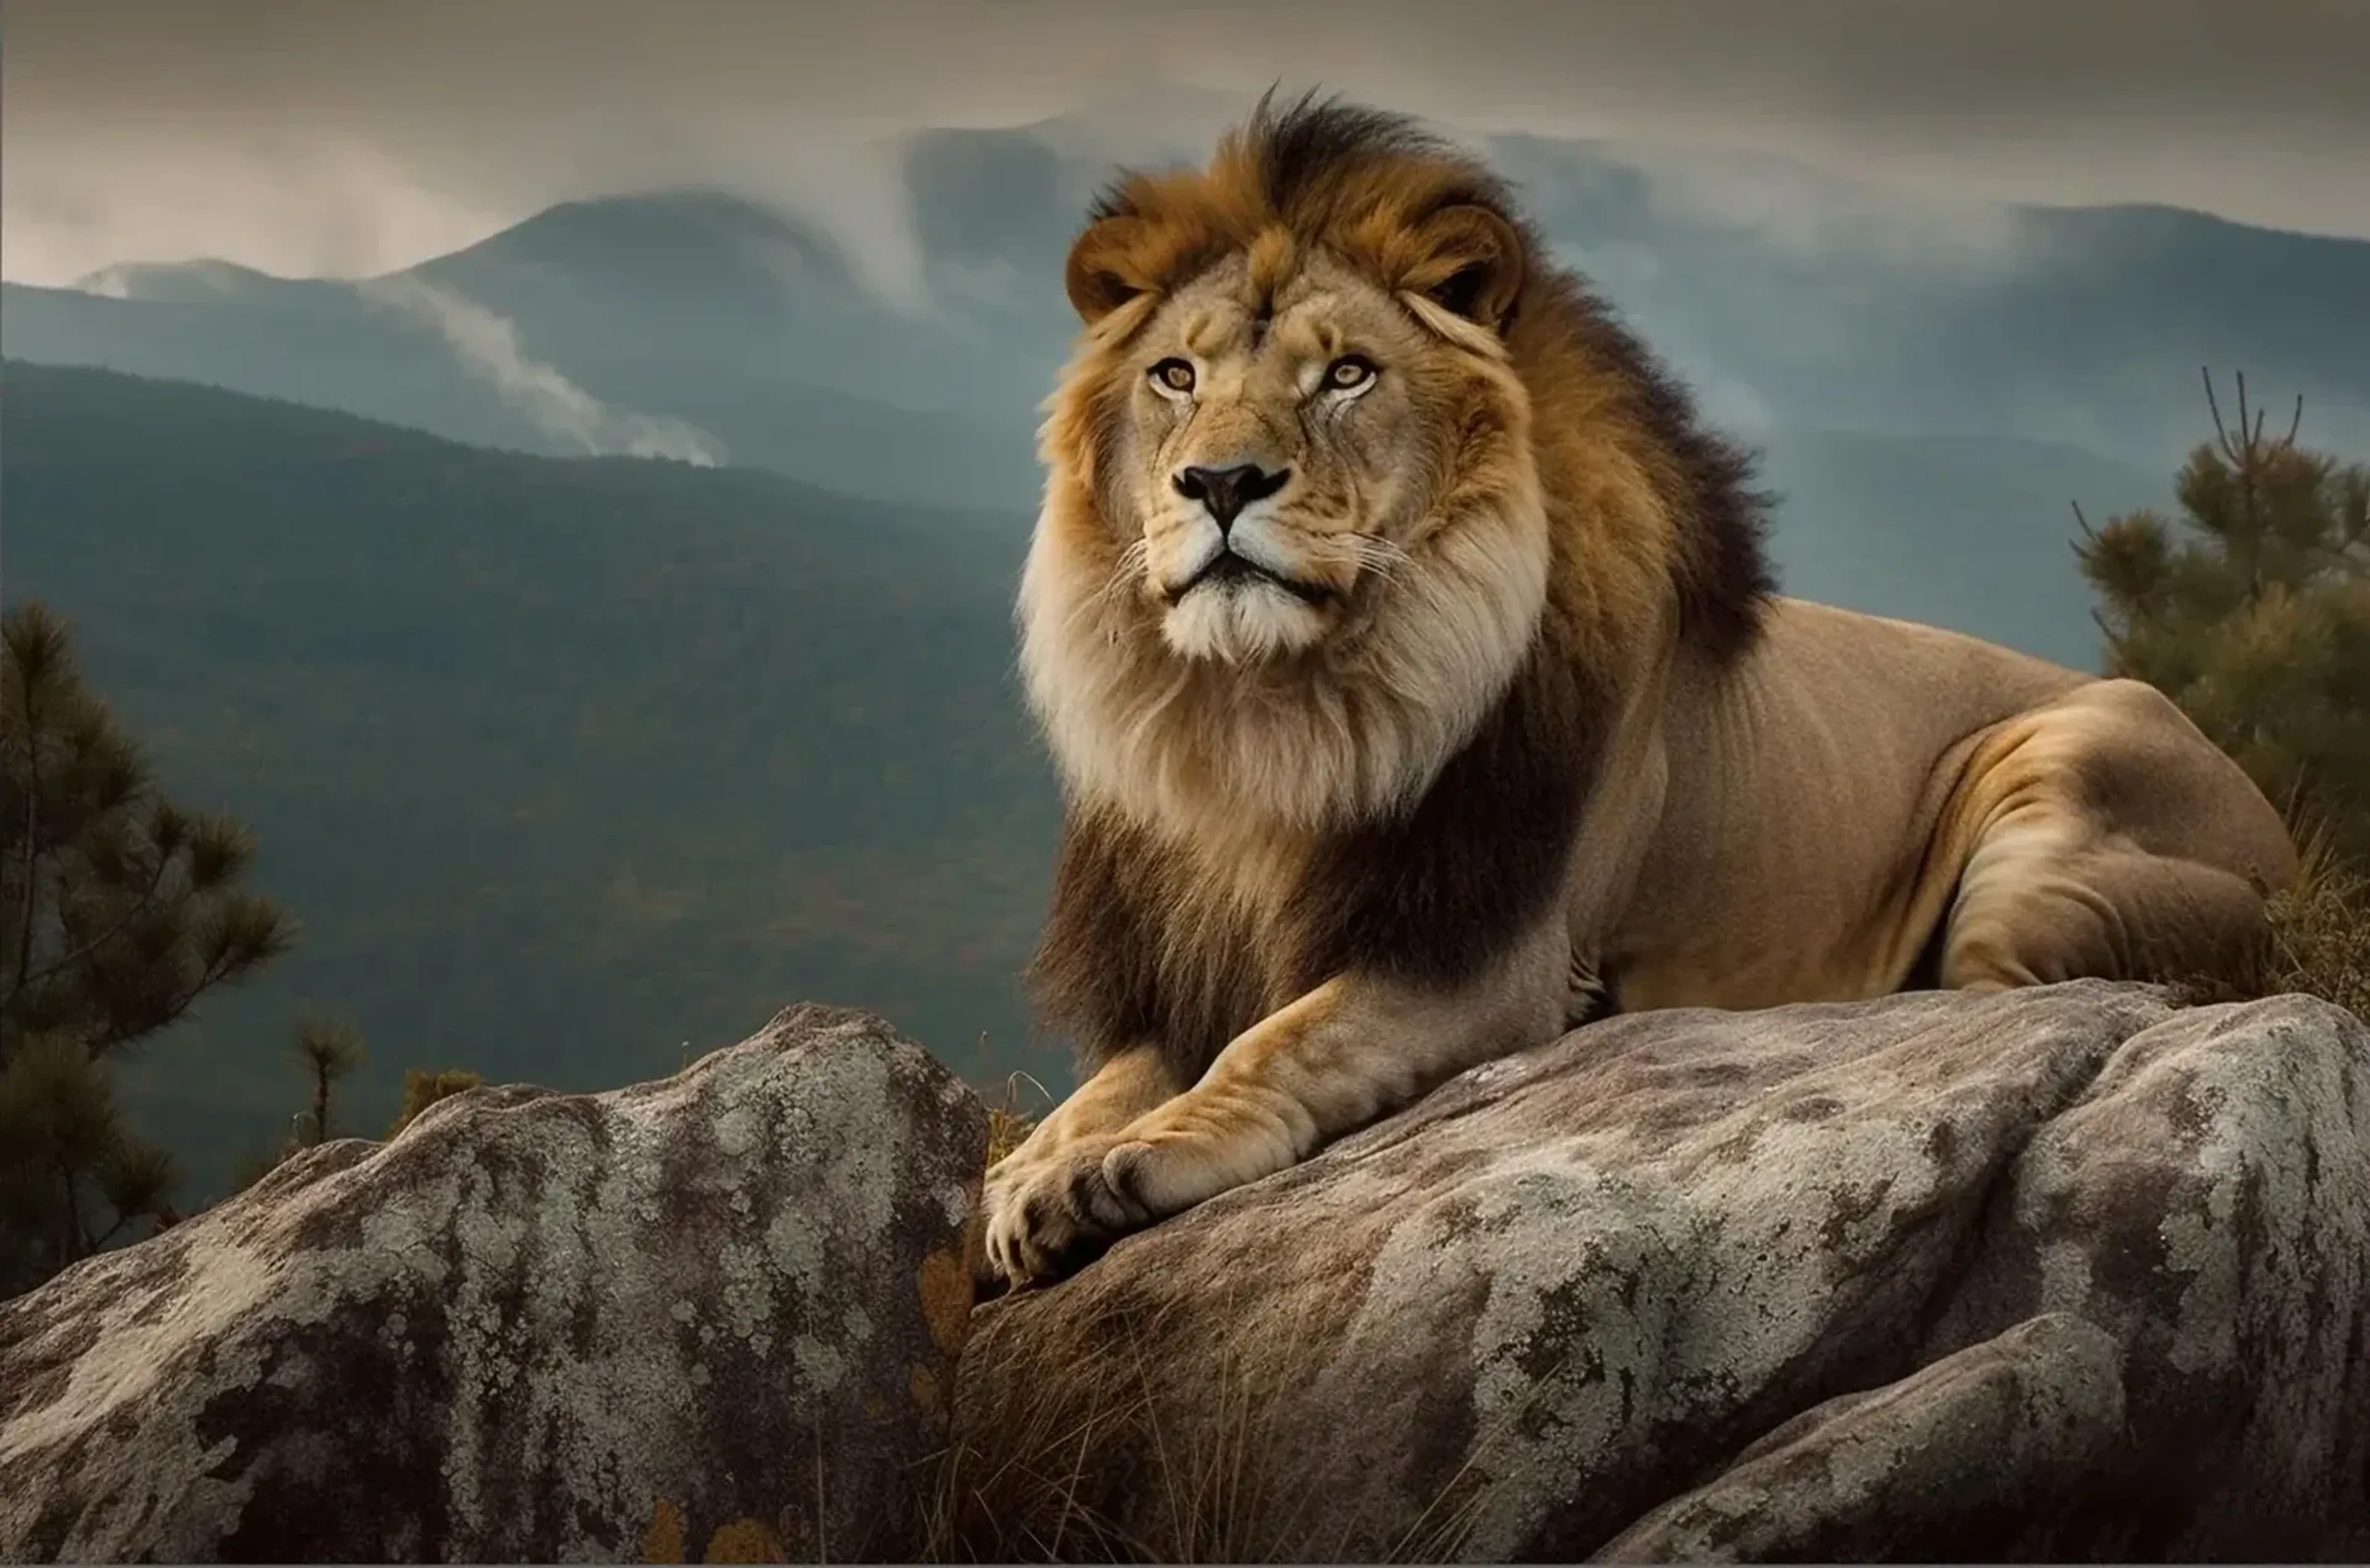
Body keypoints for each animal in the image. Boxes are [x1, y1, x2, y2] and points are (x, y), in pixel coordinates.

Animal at [980, 91, 2300, 1289]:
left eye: (1347, 375)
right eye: (1175, 376)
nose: (1219, 482)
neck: (1274, 720)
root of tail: (2278, 833)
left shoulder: (1488, 960)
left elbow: (1277, 1044)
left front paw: (1128, 1159)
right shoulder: (1184, 964)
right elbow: (1117, 1076)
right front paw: (1030, 1172)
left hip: (2056, 822)